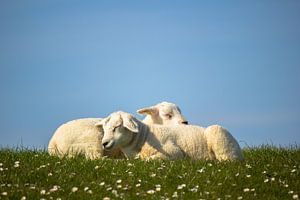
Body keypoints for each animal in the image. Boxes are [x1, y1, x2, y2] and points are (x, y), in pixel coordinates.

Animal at [98, 111, 244, 161]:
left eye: (117, 126)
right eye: (104, 129)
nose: (104, 143)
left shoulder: (174, 152)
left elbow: (148, 159)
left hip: (219, 136)